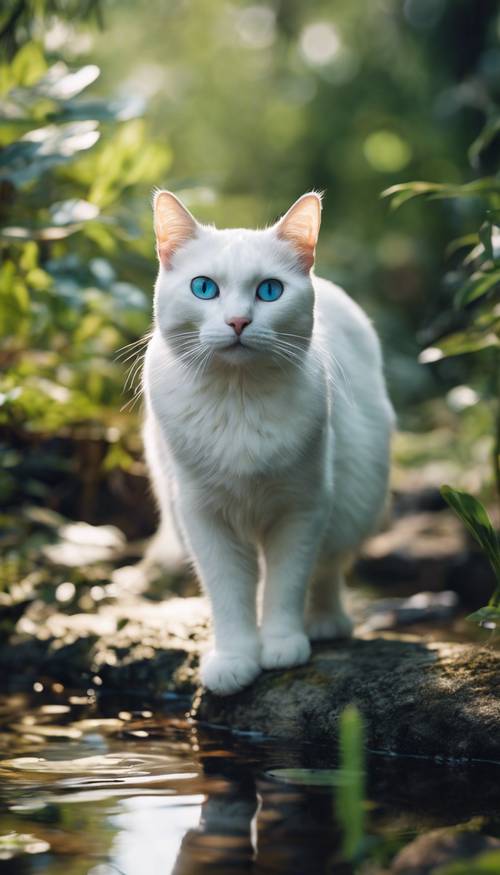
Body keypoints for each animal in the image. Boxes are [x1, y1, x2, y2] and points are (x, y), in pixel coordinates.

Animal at [142, 192, 394, 700]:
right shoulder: (203, 517)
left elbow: (286, 584)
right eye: (204, 288)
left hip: (352, 503)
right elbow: (228, 593)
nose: (238, 321)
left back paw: (325, 623)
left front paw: (280, 646)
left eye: (270, 291)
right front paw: (235, 659)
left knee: (327, 570)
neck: (238, 402)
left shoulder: (302, 509)